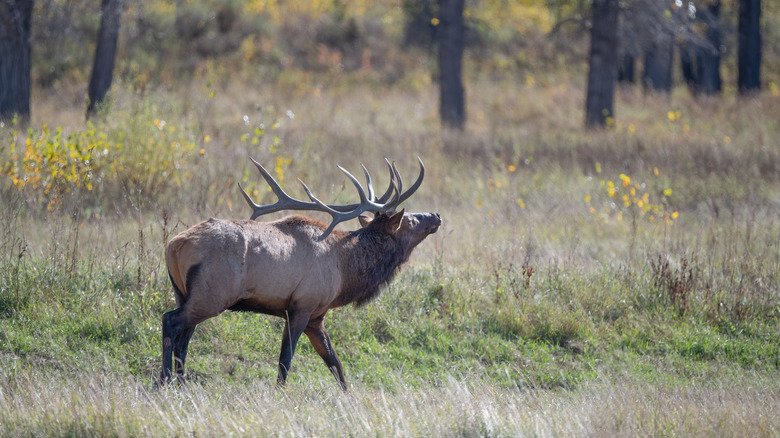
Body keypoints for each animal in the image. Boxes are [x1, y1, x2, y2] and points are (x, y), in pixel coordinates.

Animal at [161, 157, 441, 390]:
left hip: (184, 293)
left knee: (183, 338)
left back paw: (179, 383)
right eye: (410, 220)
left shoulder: (317, 316)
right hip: (212, 295)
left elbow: (335, 363)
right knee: (170, 321)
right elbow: (286, 360)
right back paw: (164, 380)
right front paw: (280, 394)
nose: (436, 215)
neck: (344, 271)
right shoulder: (301, 306)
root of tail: (174, 245)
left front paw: (348, 397)